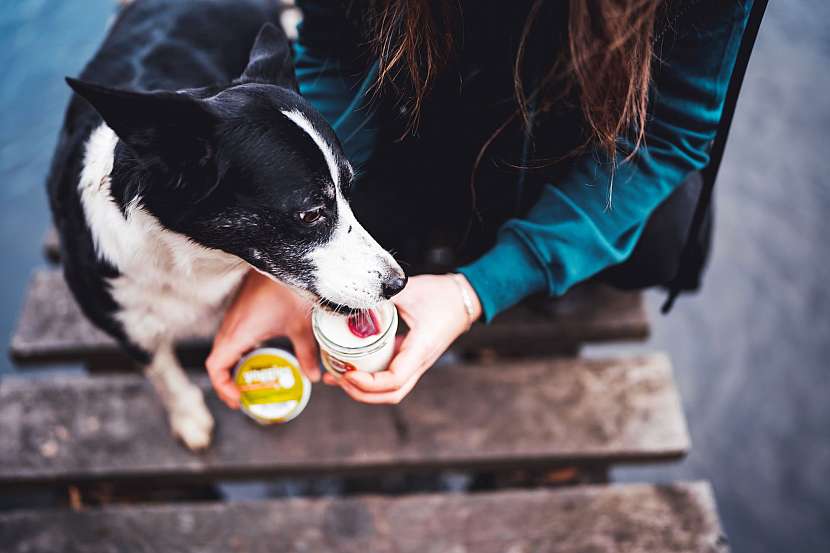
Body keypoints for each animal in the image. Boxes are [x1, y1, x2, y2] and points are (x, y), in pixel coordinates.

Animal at [48, 0, 406, 448]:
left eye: (349, 189)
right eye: (310, 213)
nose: (398, 283)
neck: (188, 258)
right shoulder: (123, 320)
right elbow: (162, 370)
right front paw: (190, 418)